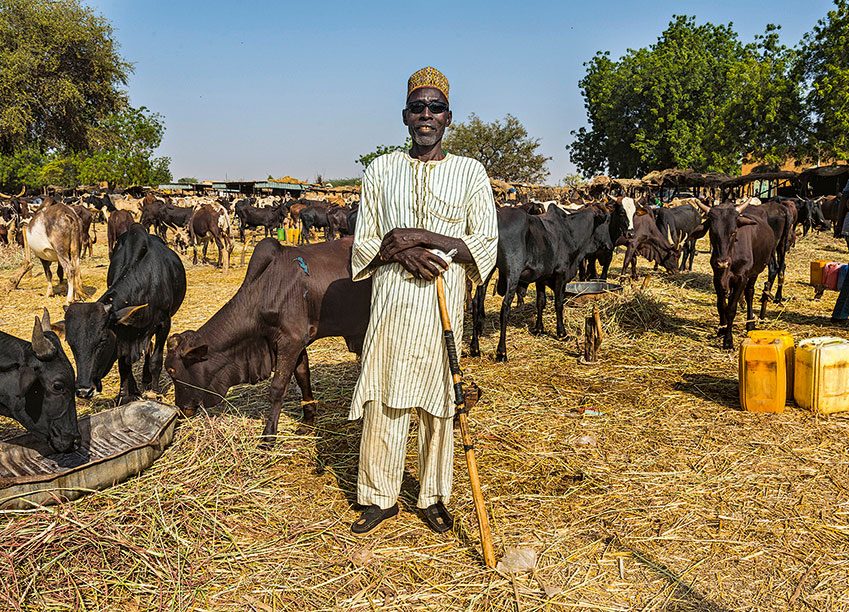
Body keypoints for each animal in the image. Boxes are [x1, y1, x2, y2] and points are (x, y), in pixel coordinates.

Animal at [58, 225, 187, 406]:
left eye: (102, 340)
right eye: (70, 343)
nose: (83, 391)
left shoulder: (164, 323)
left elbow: (156, 360)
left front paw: (154, 392)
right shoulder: (123, 331)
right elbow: (124, 365)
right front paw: (127, 394)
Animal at [166, 235, 372, 444]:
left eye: (172, 371)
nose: (181, 410)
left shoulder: (291, 342)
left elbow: (277, 388)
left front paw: (268, 435)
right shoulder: (296, 343)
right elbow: (302, 377)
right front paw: (308, 419)